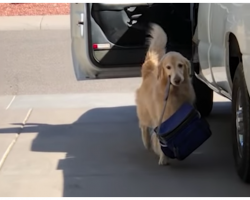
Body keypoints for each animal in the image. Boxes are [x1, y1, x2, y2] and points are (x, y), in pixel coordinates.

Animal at [135, 22, 195, 165]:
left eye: (180, 65)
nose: (177, 79)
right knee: (143, 126)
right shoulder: (161, 120)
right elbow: (161, 141)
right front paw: (163, 158)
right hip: (145, 111)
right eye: (168, 67)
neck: (174, 93)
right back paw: (147, 142)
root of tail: (149, 70)